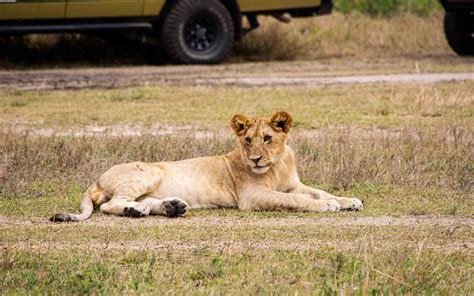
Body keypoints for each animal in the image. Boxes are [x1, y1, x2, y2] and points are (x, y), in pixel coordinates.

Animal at [50, 111, 362, 222]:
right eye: (247, 140)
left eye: (267, 138)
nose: (255, 159)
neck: (276, 164)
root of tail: (96, 180)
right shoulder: (252, 197)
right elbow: (295, 200)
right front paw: (326, 206)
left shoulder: (294, 184)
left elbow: (319, 191)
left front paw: (349, 200)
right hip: (150, 171)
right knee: (109, 204)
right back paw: (135, 210)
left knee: (140, 202)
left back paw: (170, 207)